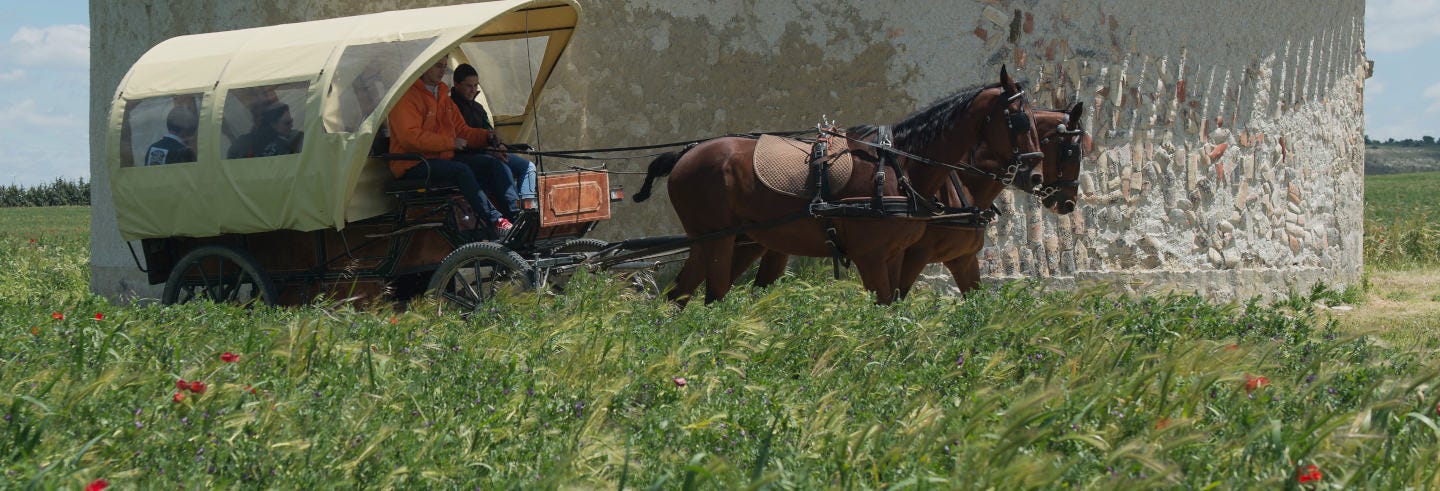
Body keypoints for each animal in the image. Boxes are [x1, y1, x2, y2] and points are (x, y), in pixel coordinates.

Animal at [636, 66, 1042, 303]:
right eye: (1020, 121)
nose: (1036, 173)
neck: (899, 165)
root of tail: (687, 154)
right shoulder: (872, 255)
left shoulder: (898, 256)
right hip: (718, 239)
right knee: (711, 295)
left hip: (726, 241)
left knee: (681, 294)